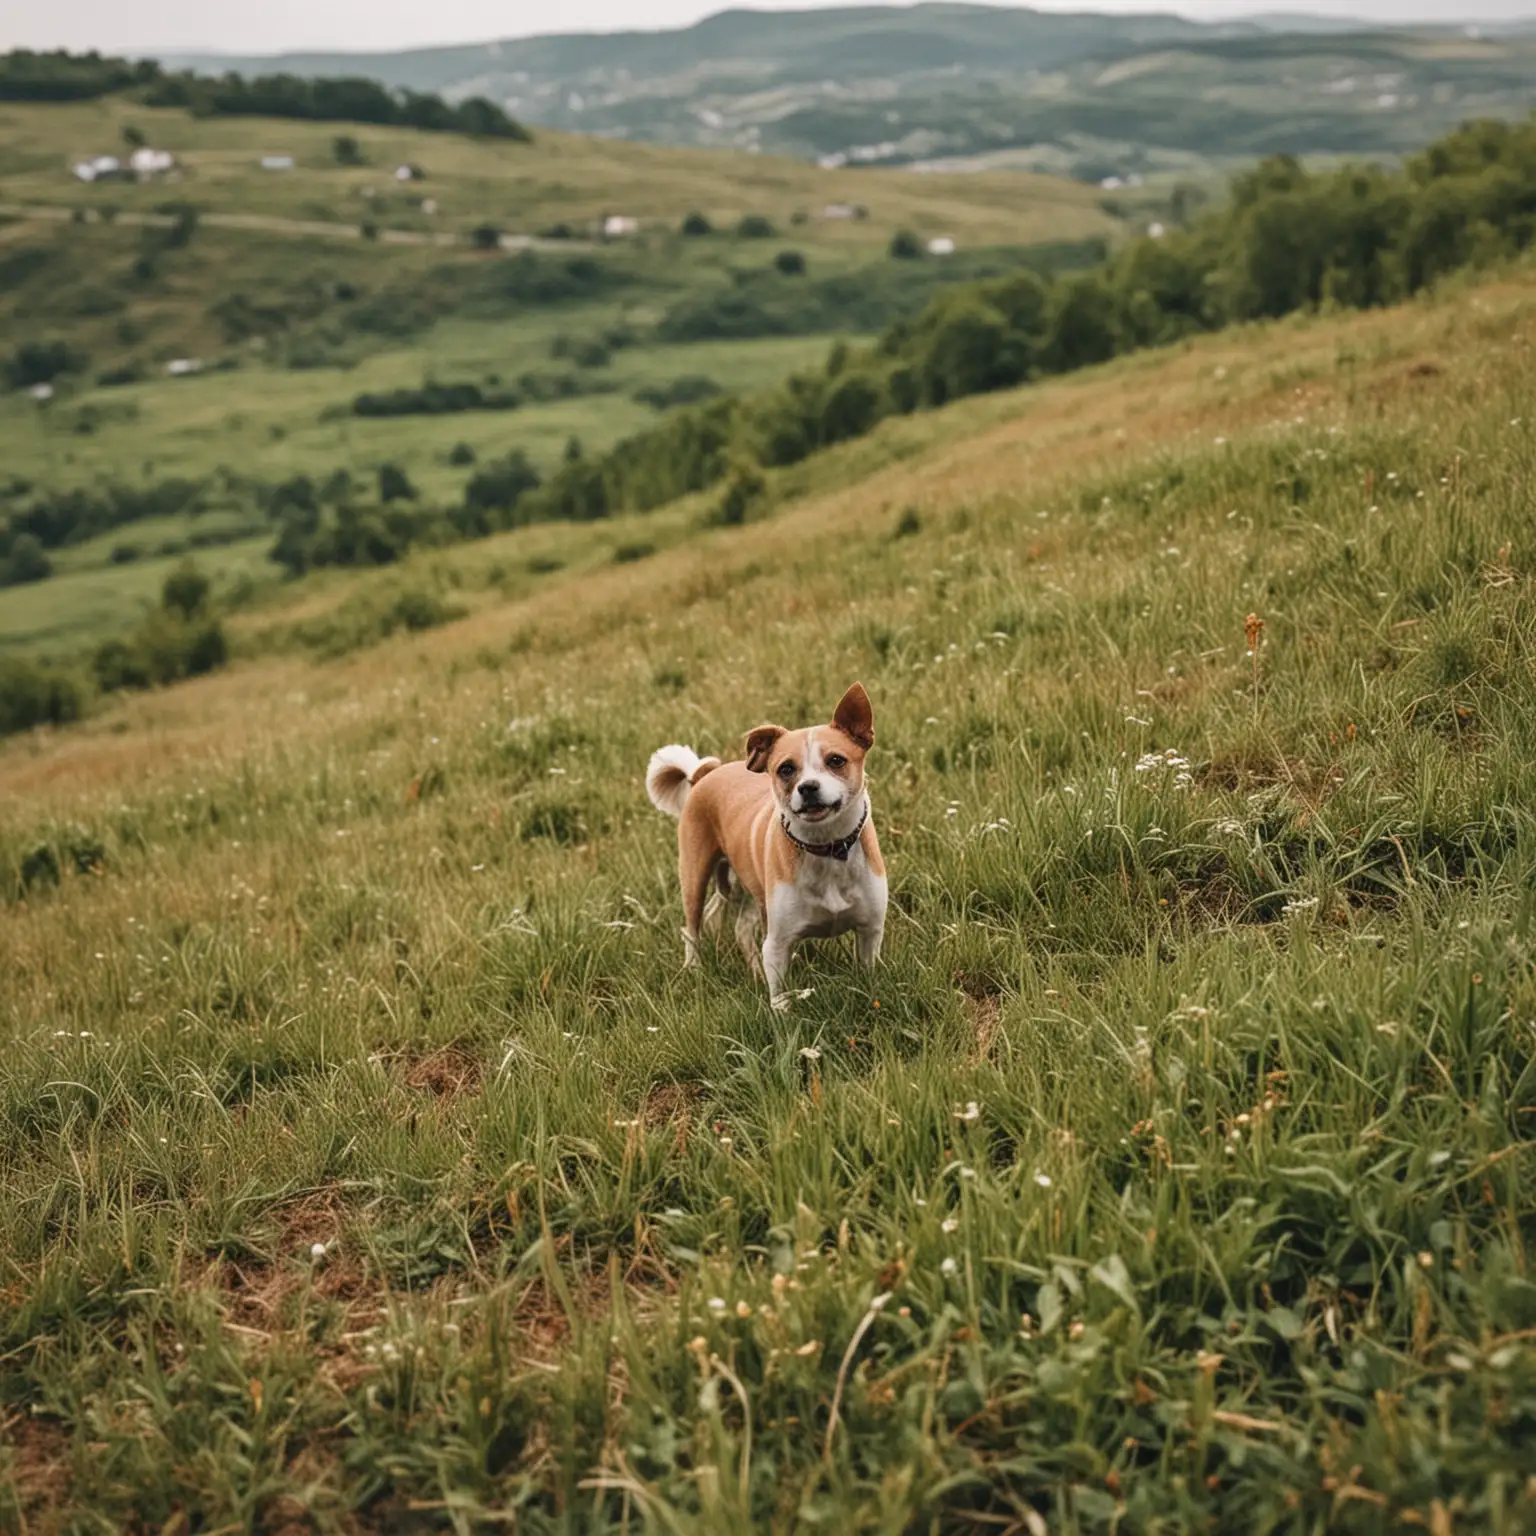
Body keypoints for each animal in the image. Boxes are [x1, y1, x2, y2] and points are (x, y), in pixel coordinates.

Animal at [648, 685, 890, 1007]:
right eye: (786, 769)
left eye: (836, 760)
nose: (808, 787)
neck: (826, 847)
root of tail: (705, 774)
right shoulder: (778, 941)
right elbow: (778, 992)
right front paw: (781, 1011)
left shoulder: (870, 930)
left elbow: (868, 967)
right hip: (695, 874)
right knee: (692, 927)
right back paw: (694, 968)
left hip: (743, 883)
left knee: (732, 922)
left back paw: (751, 969)